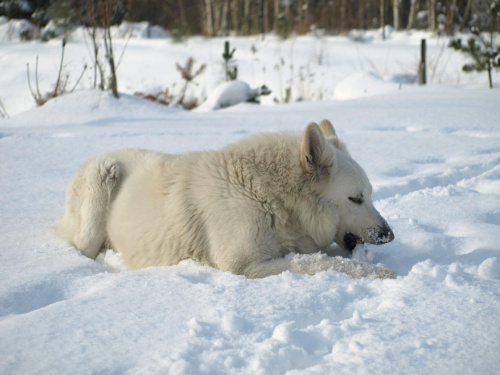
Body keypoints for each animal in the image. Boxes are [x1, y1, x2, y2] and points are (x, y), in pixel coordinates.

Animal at [55, 120, 394, 280]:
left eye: (370, 195)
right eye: (356, 198)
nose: (389, 235)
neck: (268, 196)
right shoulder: (243, 265)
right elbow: (321, 264)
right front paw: (380, 273)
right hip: (102, 181)